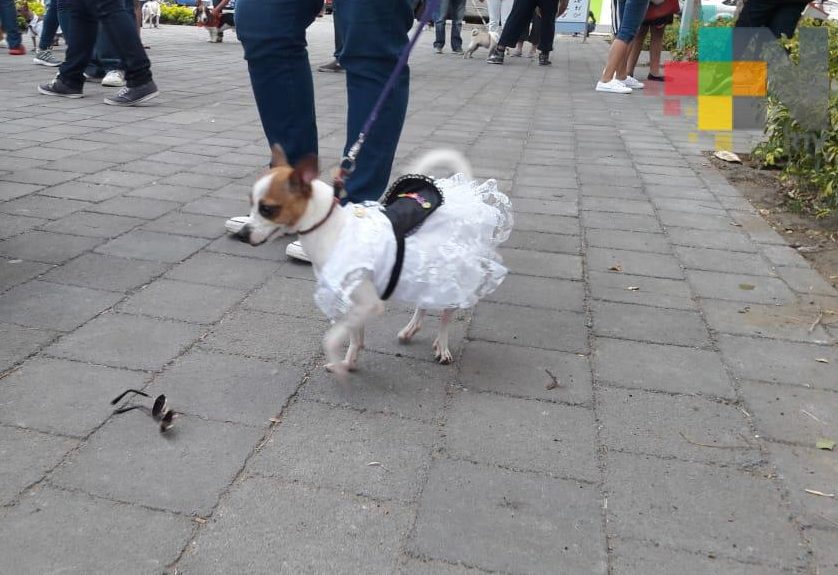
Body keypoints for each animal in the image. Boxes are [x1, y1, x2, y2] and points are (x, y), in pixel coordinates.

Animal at [235, 146, 512, 378]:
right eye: (251, 204)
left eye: (267, 209)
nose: (243, 234)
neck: (333, 230)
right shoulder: (354, 304)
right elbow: (355, 338)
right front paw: (349, 362)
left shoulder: (368, 304)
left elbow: (332, 338)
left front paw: (340, 361)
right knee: (424, 302)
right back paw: (411, 329)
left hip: (453, 274)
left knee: (446, 314)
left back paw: (442, 346)